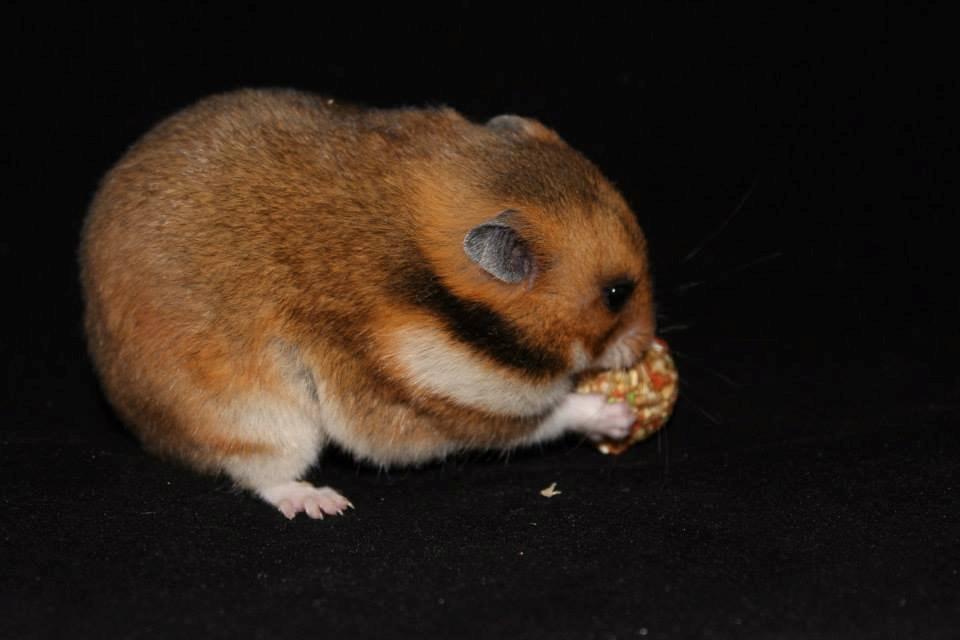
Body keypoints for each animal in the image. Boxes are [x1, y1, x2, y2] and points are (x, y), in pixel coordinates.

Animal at [79, 88, 655, 519]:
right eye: (615, 295)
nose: (647, 346)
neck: (448, 307)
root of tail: (133, 417)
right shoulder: (440, 407)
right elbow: (547, 417)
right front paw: (617, 414)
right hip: (258, 419)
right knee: (260, 473)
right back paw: (321, 502)